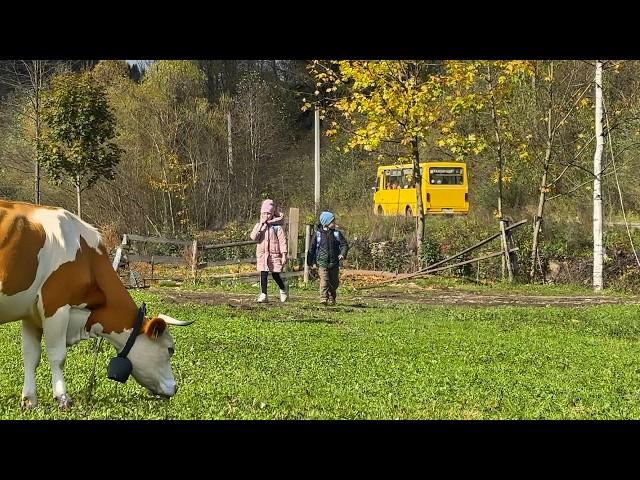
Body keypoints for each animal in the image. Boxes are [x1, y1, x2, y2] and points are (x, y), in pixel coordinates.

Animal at [0, 199, 194, 408]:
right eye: (170, 349)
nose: (175, 388)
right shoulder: (56, 306)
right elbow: (57, 356)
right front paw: (63, 398)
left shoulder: (30, 314)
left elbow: (30, 356)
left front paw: (29, 400)